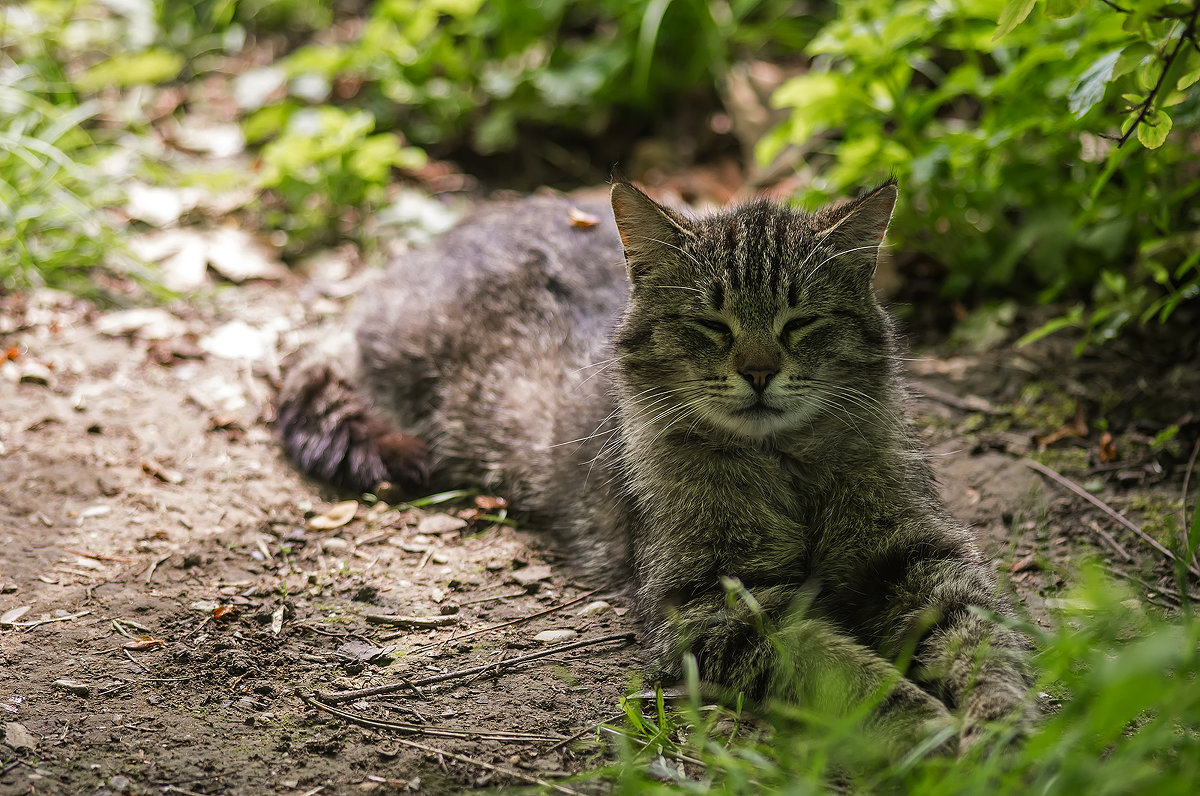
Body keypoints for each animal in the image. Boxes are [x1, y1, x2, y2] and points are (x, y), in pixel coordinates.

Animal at [278, 180, 1032, 753]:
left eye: (800, 322)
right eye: (711, 325)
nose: (759, 371)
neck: (785, 466)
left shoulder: (918, 555)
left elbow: (984, 647)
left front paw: (1007, 729)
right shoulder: (713, 601)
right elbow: (844, 671)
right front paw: (927, 725)